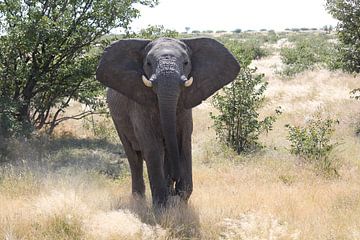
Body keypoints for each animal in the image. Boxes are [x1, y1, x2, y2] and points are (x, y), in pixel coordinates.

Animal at [97, 36, 240, 207]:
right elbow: (152, 146)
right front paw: (161, 207)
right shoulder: (139, 105)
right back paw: (139, 199)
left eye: (186, 63)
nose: (175, 179)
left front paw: (180, 202)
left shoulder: (185, 106)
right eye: (148, 63)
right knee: (134, 157)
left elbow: (184, 142)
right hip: (117, 119)